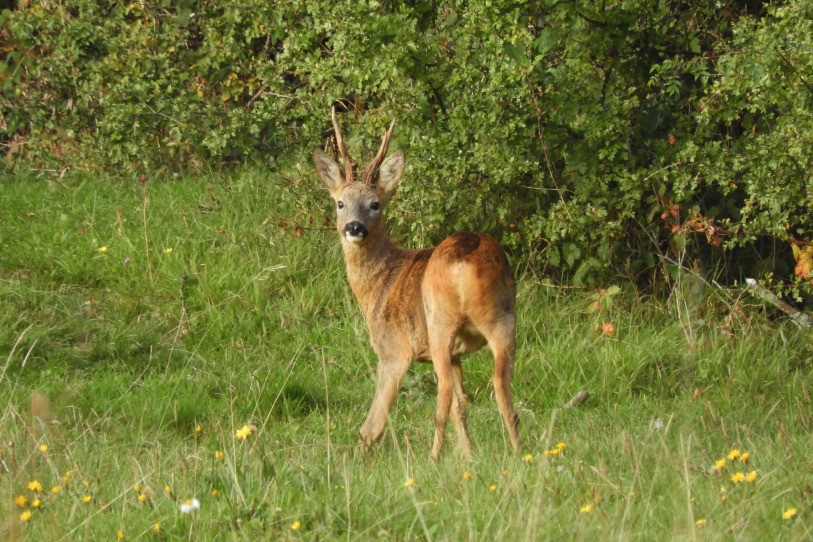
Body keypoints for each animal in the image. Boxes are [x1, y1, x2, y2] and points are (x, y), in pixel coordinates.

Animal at [312, 108, 520, 460]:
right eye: (340, 203)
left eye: (375, 204)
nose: (354, 227)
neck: (380, 283)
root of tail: (464, 263)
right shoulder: (458, 354)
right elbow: (463, 407)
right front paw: (469, 456)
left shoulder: (392, 349)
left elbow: (373, 423)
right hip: (503, 318)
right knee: (500, 389)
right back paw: (521, 452)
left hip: (439, 325)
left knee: (444, 395)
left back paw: (433, 458)